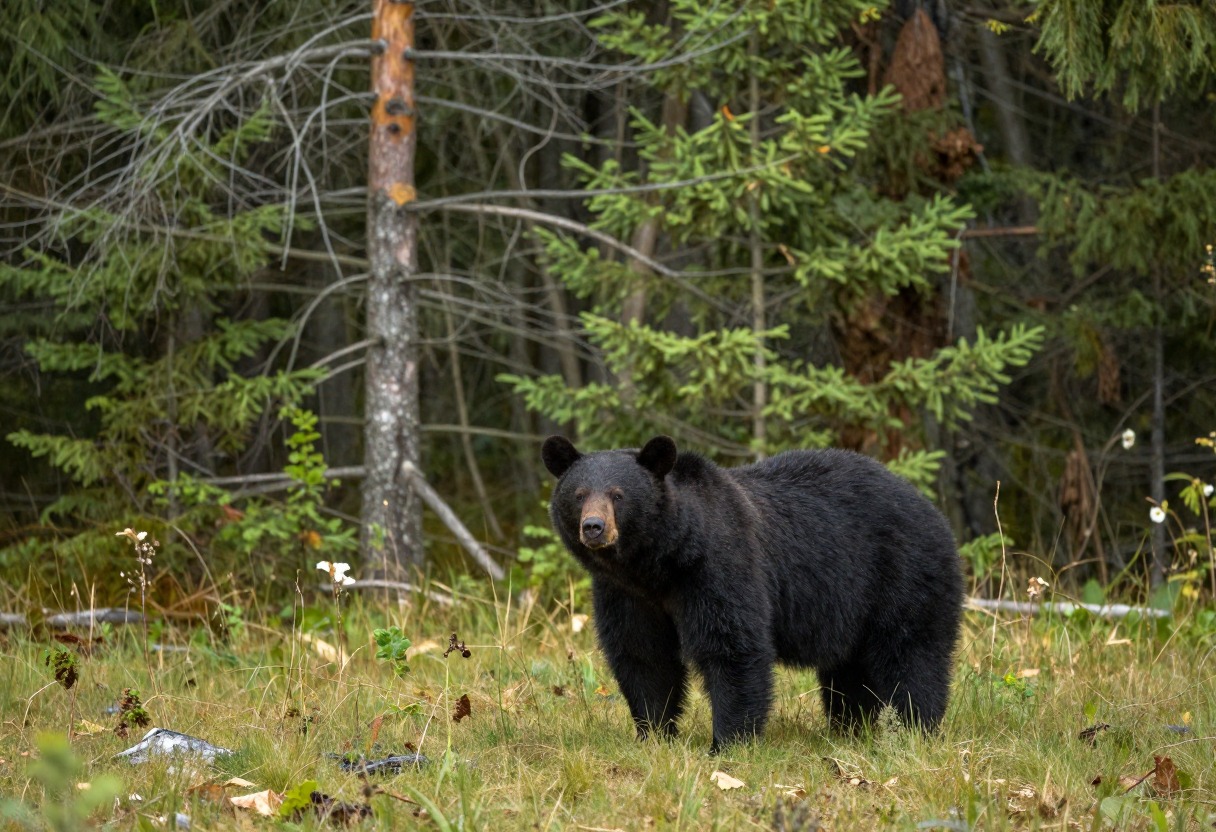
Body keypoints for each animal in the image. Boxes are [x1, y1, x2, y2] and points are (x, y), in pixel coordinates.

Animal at [541, 434, 964, 752]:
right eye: (578, 494)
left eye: (618, 495)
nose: (594, 527)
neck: (660, 563)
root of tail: (932, 510)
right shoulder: (627, 594)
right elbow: (643, 656)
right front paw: (654, 733)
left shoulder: (718, 566)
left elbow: (732, 646)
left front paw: (727, 743)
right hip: (853, 608)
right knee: (849, 671)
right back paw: (849, 727)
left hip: (904, 576)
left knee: (912, 654)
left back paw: (915, 728)